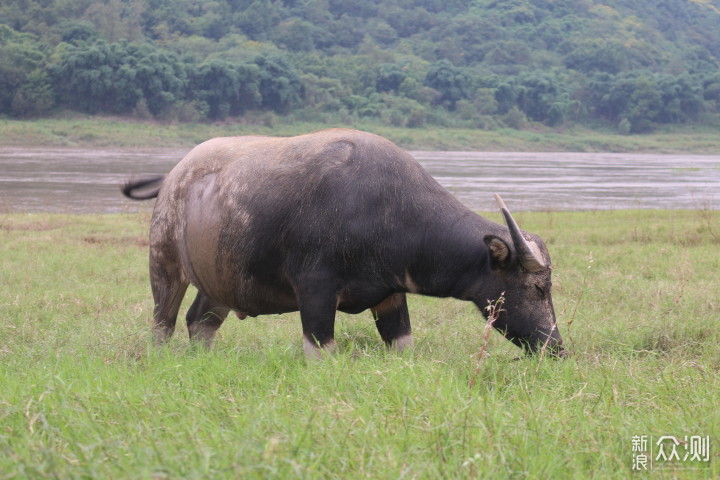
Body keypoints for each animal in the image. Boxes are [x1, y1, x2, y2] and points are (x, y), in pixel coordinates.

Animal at [121, 129, 564, 358]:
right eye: (538, 287)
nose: (555, 347)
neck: (388, 210)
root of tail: (173, 176)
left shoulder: (391, 296)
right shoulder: (316, 292)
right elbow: (320, 347)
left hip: (221, 280)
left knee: (200, 322)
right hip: (164, 265)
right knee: (164, 322)